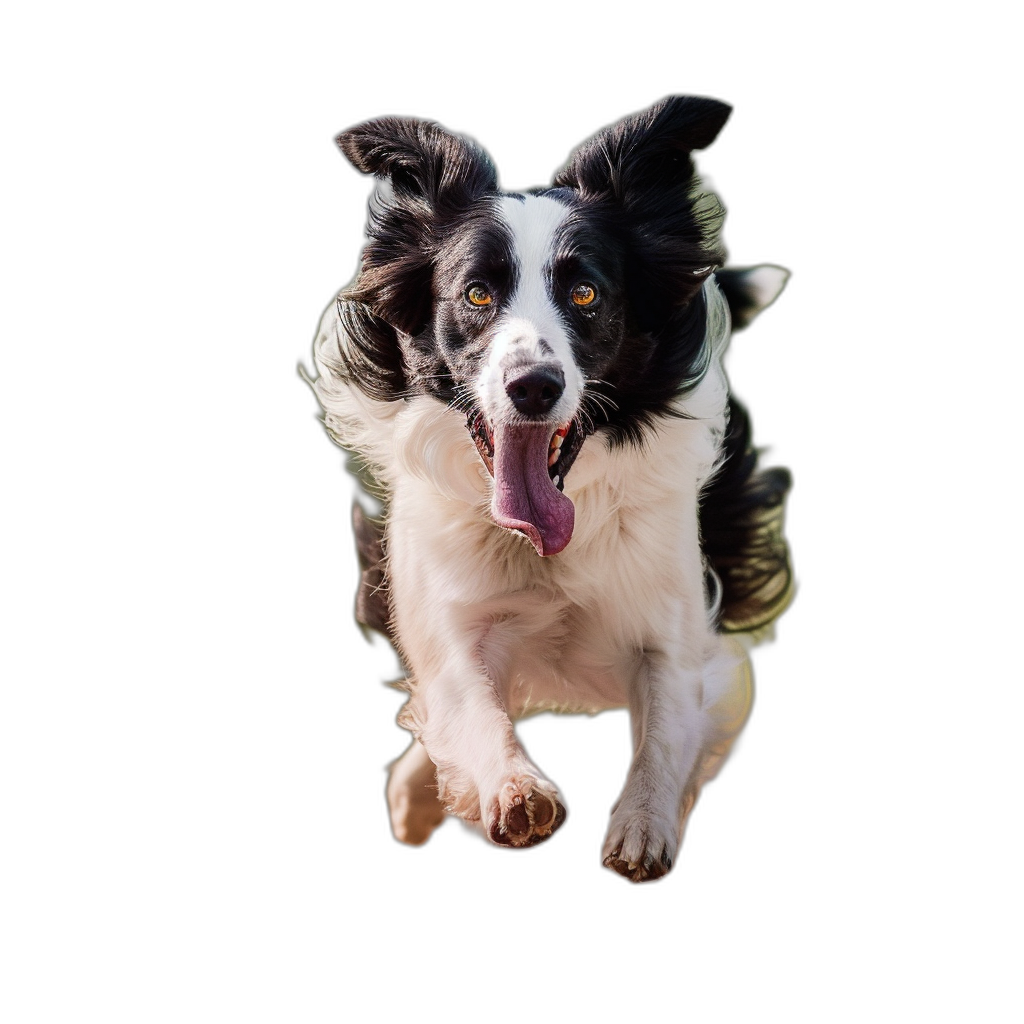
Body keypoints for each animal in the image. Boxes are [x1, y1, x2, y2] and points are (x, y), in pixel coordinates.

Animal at [307, 92, 794, 884]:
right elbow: (468, 697)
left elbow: (670, 716)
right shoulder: (451, 611)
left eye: (586, 292)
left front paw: (644, 827)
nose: (533, 386)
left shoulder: (675, 620)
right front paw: (513, 790)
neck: (543, 546)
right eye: (476, 293)